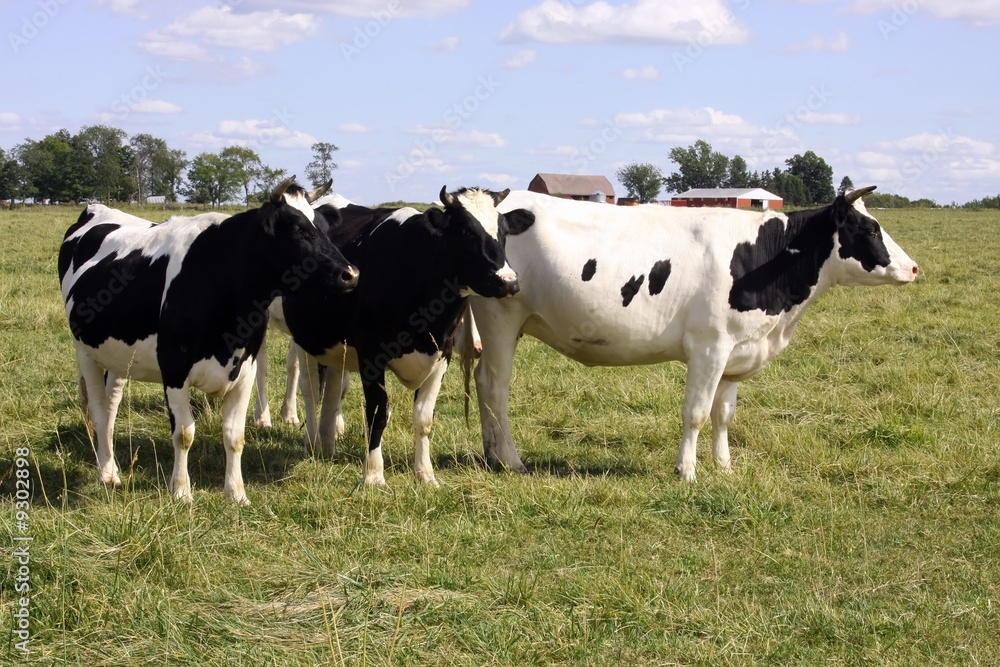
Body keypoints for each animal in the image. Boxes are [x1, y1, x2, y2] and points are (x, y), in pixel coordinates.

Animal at [58, 180, 360, 504]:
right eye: (298, 230)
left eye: (325, 229)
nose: (351, 274)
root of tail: (96, 208)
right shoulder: (174, 370)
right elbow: (184, 433)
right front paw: (181, 492)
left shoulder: (245, 370)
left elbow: (234, 435)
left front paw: (236, 493)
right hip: (84, 352)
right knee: (99, 411)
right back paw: (107, 473)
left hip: (117, 356)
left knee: (111, 406)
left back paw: (111, 465)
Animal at [280, 187, 520, 486]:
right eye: (466, 231)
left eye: (504, 231)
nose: (508, 281)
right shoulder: (371, 354)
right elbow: (377, 412)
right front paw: (373, 475)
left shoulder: (441, 355)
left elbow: (424, 418)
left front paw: (426, 475)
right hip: (305, 338)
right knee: (311, 388)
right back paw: (312, 442)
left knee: (334, 387)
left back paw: (327, 442)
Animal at [468, 187, 920, 480]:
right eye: (870, 229)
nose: (914, 268)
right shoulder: (709, 347)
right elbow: (697, 413)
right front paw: (687, 470)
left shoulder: (736, 351)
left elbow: (723, 414)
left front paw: (725, 466)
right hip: (500, 317)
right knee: (495, 387)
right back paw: (511, 460)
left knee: (482, 381)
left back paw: (492, 456)